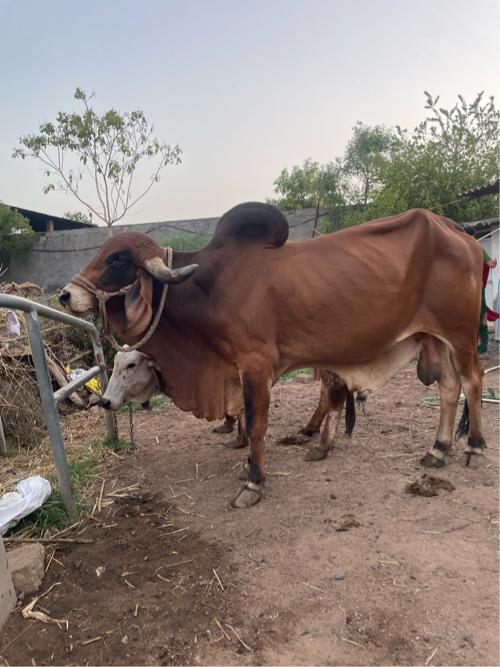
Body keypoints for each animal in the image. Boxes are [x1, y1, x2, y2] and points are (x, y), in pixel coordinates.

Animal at [59, 203, 485, 509]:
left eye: (117, 259)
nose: (65, 294)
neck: (209, 285)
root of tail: (459, 231)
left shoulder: (256, 365)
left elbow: (257, 422)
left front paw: (253, 481)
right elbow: (247, 422)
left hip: (460, 334)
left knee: (472, 382)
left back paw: (474, 447)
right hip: (437, 338)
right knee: (449, 388)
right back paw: (438, 449)